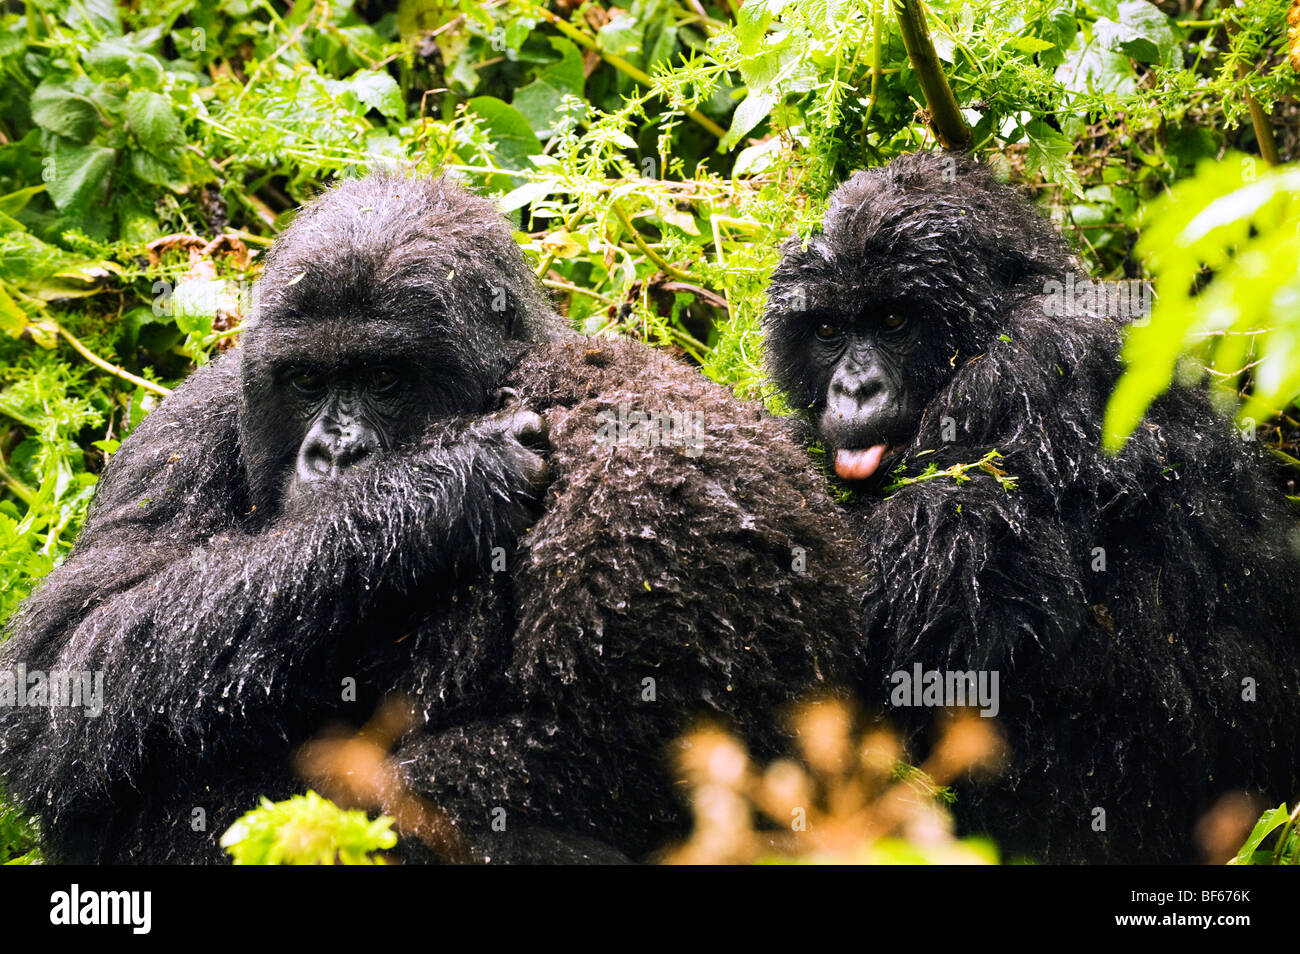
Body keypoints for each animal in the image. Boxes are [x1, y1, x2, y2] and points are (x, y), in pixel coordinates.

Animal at [0, 171, 863, 868]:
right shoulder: (184, 427)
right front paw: (436, 490)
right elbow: (65, 661)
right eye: (307, 381)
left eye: (385, 378)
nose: (335, 453)